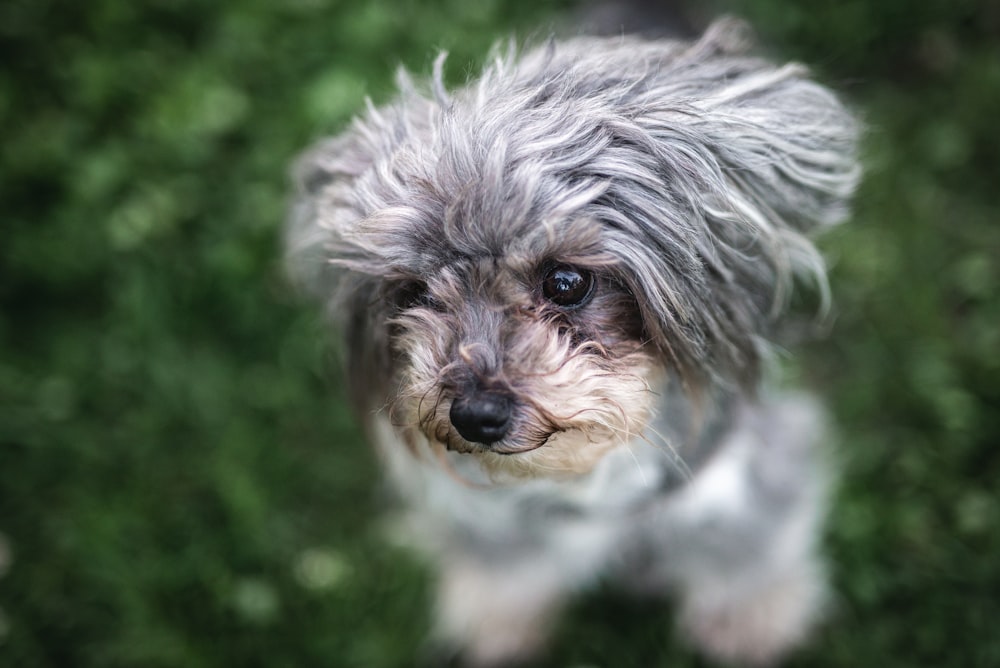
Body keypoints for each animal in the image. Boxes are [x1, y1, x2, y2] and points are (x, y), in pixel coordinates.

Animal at [288, 18, 860, 664]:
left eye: (566, 281)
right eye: (411, 293)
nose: (474, 416)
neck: (587, 473)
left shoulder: (739, 473)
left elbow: (747, 544)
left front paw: (747, 620)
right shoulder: (491, 511)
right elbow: (502, 563)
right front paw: (497, 619)